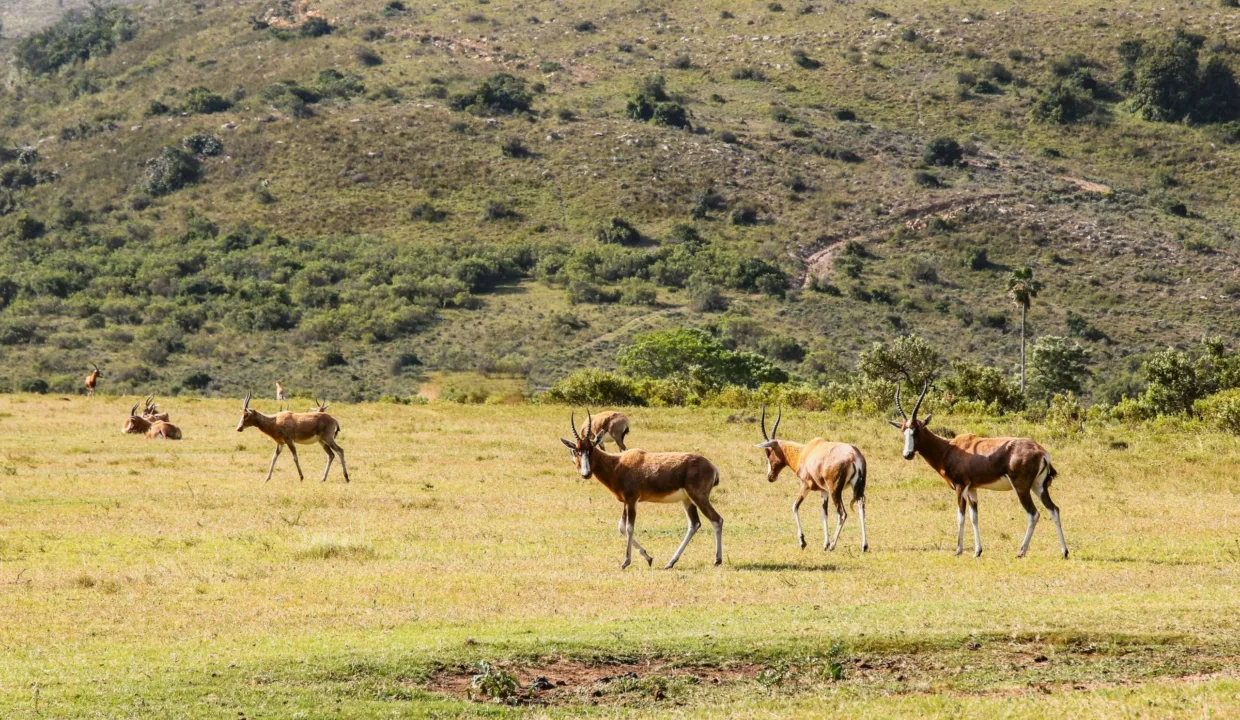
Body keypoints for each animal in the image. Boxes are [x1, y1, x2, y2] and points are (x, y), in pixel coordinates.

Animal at [560, 408, 724, 567]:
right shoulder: (626, 502)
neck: (618, 463)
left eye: (591, 449)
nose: (586, 474)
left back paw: (717, 560)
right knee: (694, 524)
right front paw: (648, 558)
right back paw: (670, 562)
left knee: (717, 519)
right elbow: (621, 526)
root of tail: (712, 466)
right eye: (577, 450)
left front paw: (626, 562)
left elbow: (629, 527)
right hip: (687, 500)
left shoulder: (632, 500)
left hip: (699, 497)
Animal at [748, 403, 868, 550]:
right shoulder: (824, 491)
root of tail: (854, 455)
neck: (806, 451)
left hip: (835, 491)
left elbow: (794, 506)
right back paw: (864, 546)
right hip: (858, 489)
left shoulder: (805, 486)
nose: (770, 477)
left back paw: (833, 545)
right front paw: (824, 543)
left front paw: (803, 541)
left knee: (842, 514)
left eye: (768, 452)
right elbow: (824, 513)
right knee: (861, 509)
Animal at [887, 379, 1071, 557]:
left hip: (1022, 487)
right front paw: (977, 551)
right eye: (904, 430)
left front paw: (958, 550)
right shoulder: (972, 489)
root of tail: (1041, 451)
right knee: (1054, 509)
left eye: (917, 429)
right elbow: (974, 517)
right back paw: (1064, 552)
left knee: (1033, 514)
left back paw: (1021, 551)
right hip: (1038, 486)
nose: (908, 454)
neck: (950, 448)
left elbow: (960, 516)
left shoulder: (960, 487)